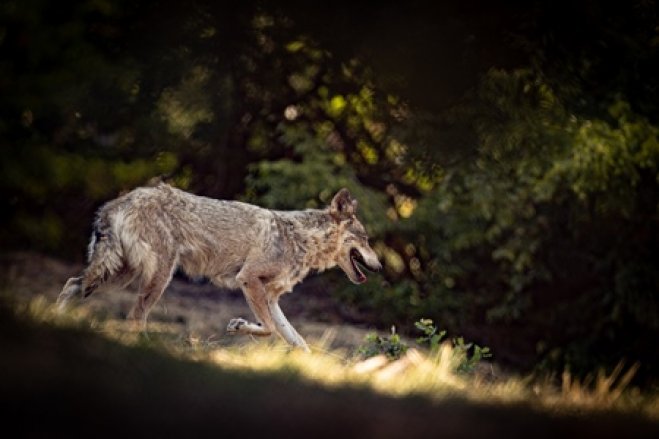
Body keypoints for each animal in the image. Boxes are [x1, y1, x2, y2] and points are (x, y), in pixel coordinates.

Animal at [56, 184, 382, 352]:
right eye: (366, 240)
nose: (379, 267)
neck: (302, 238)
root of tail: (123, 199)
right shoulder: (248, 280)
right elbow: (269, 330)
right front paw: (239, 326)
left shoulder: (271, 297)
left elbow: (295, 339)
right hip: (156, 277)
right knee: (135, 317)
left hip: (120, 274)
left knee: (72, 283)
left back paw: (57, 320)